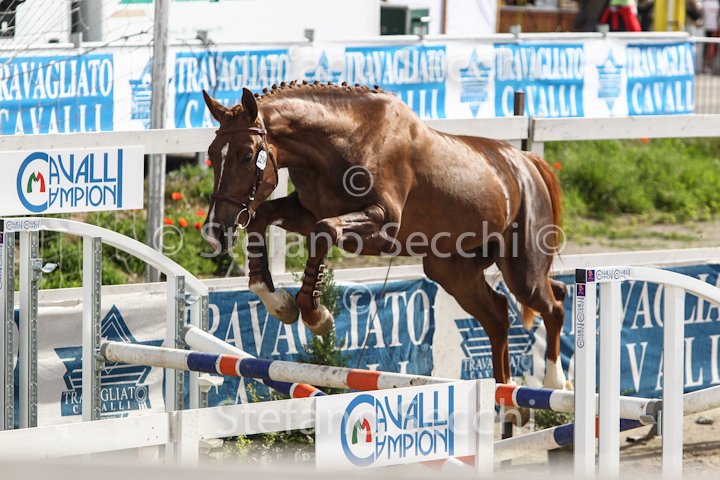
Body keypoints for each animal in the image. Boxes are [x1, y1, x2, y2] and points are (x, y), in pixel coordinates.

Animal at [201, 81, 568, 390]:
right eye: (212, 153)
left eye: (247, 155)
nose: (215, 232)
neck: (340, 143)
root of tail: (527, 161)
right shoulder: (306, 212)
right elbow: (263, 218)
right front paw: (278, 302)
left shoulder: (380, 222)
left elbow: (324, 232)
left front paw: (317, 317)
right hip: (453, 271)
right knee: (498, 316)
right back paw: (506, 400)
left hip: (522, 270)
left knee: (553, 304)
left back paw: (555, 382)